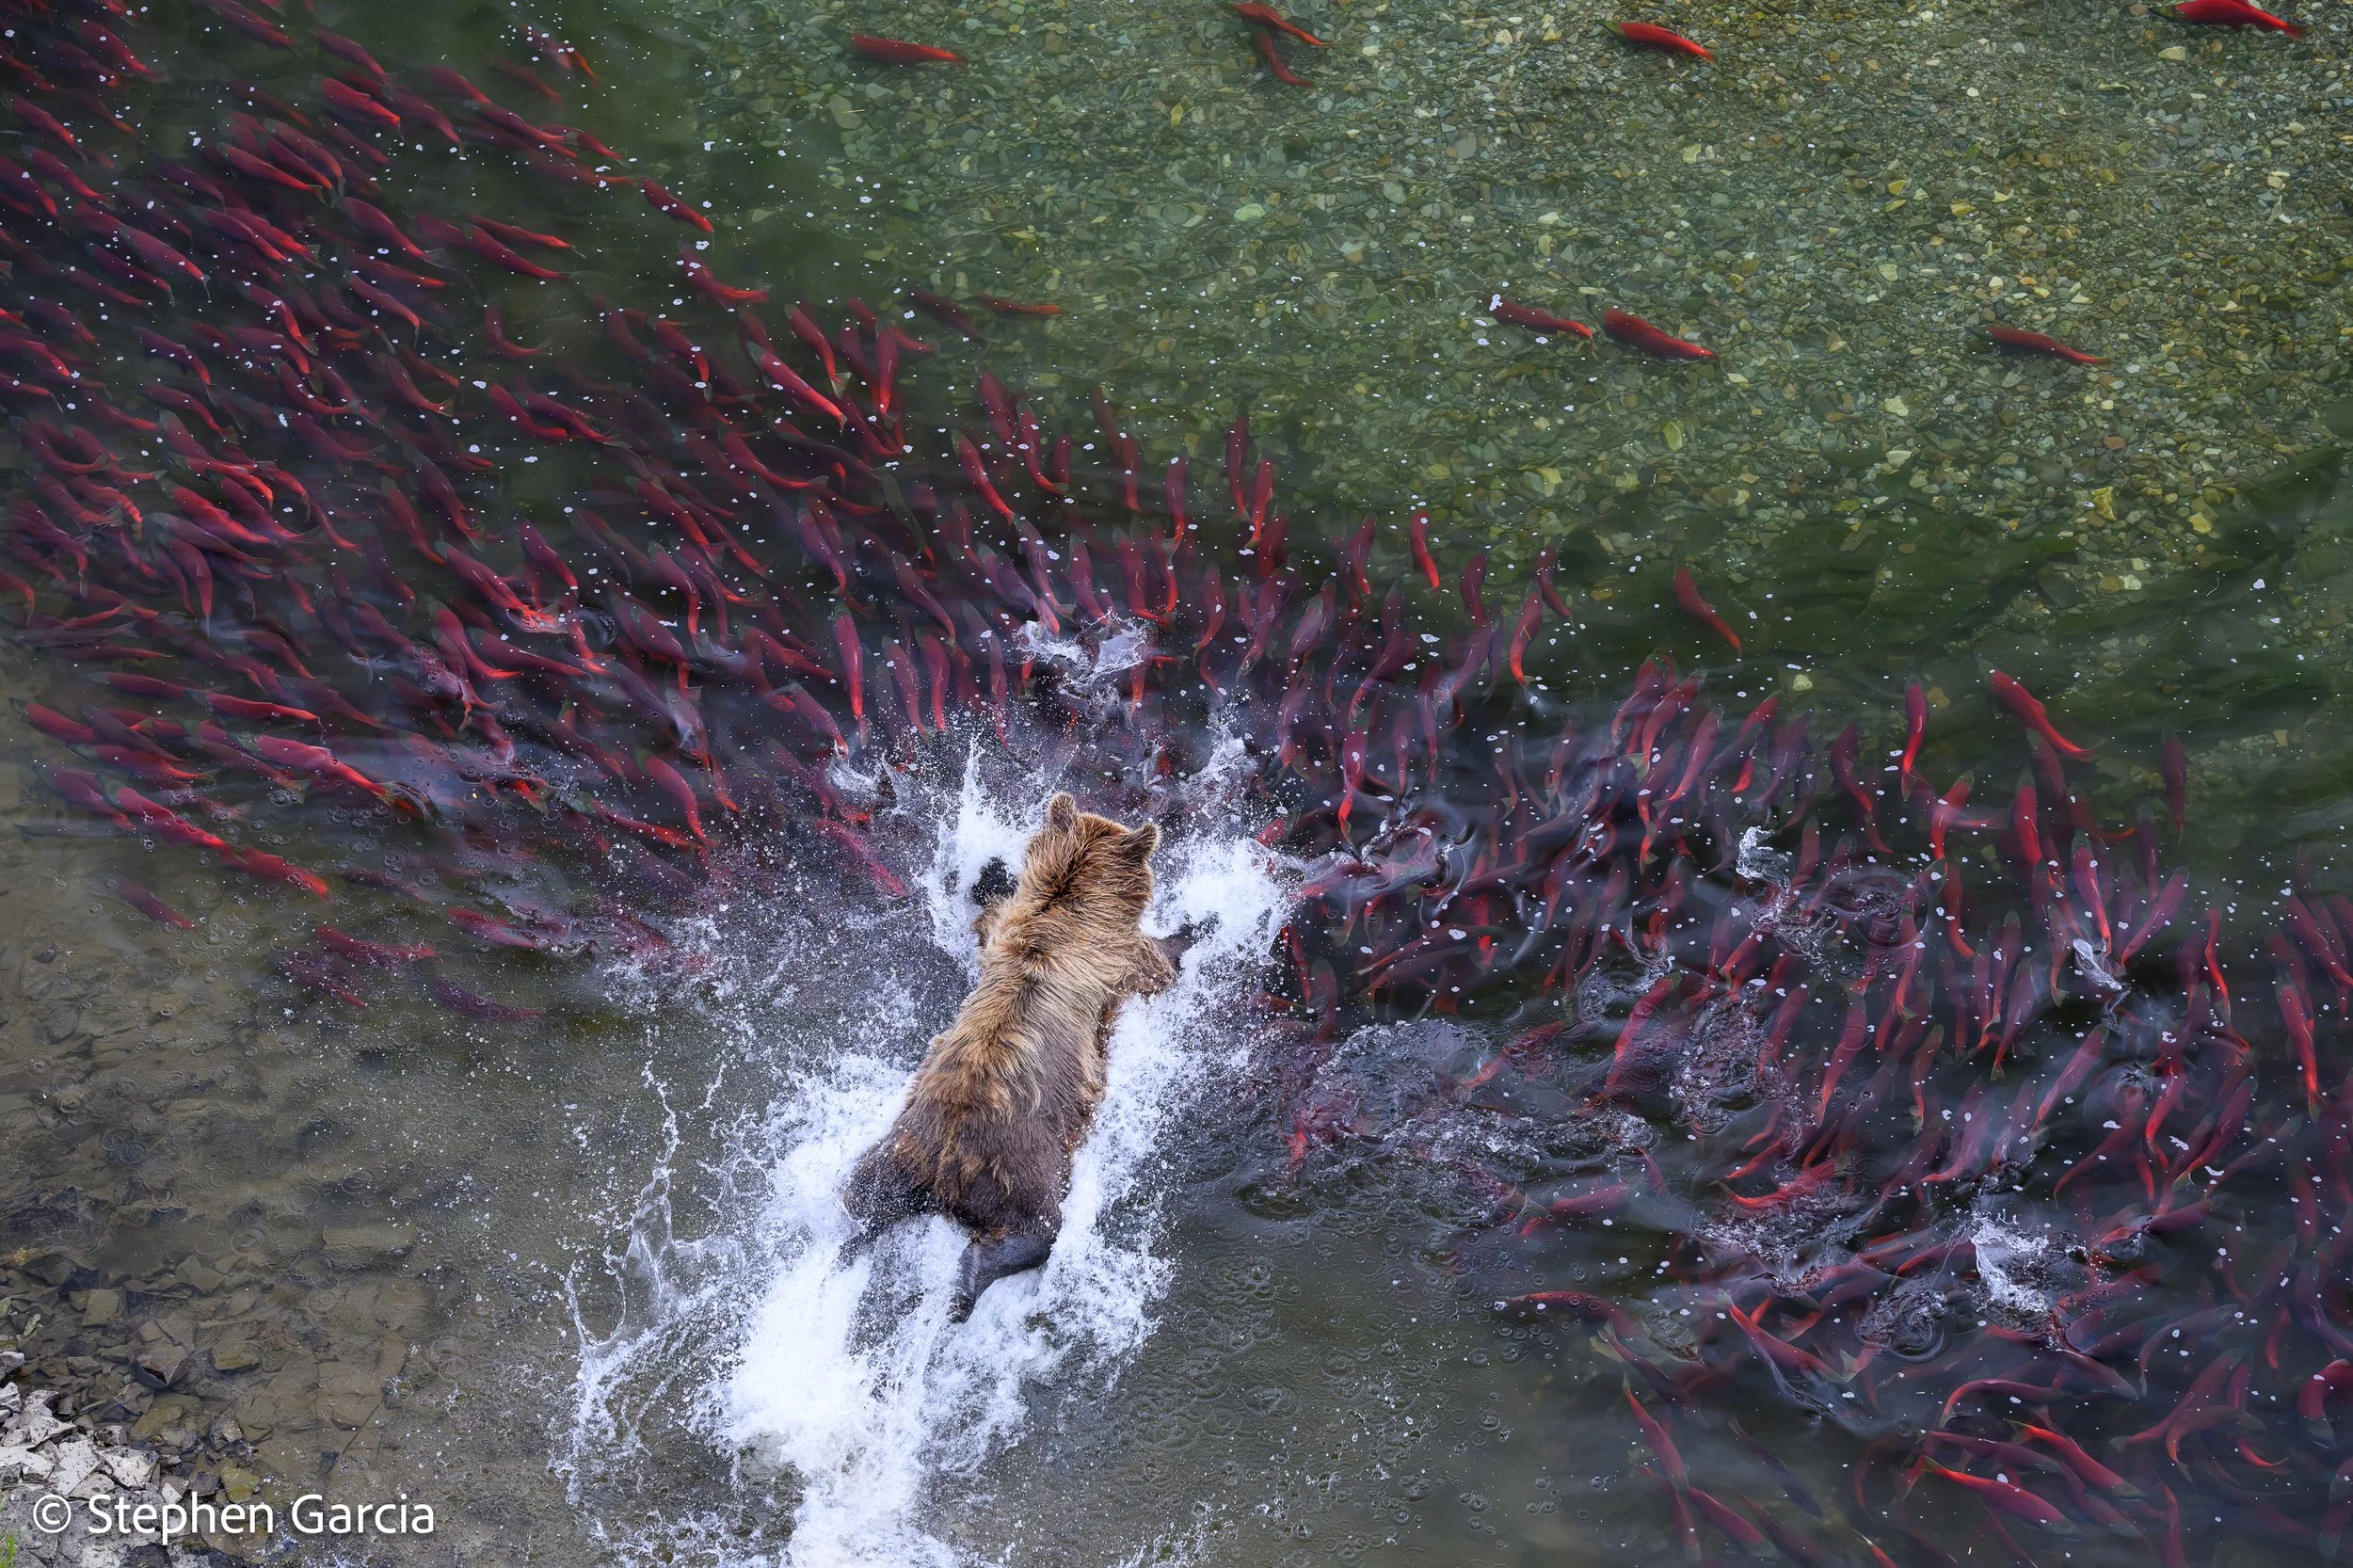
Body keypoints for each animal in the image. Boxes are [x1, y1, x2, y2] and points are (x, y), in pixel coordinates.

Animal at [843, 792, 1192, 1321]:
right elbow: (1157, 963)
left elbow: (989, 914)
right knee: (1041, 1224)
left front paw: (990, 870)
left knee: (863, 1190)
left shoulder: (1008, 926)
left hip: (905, 1140)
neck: (1068, 906)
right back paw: (974, 1276)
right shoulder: (1119, 962)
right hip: (1024, 1155)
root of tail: (946, 1170)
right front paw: (1198, 925)